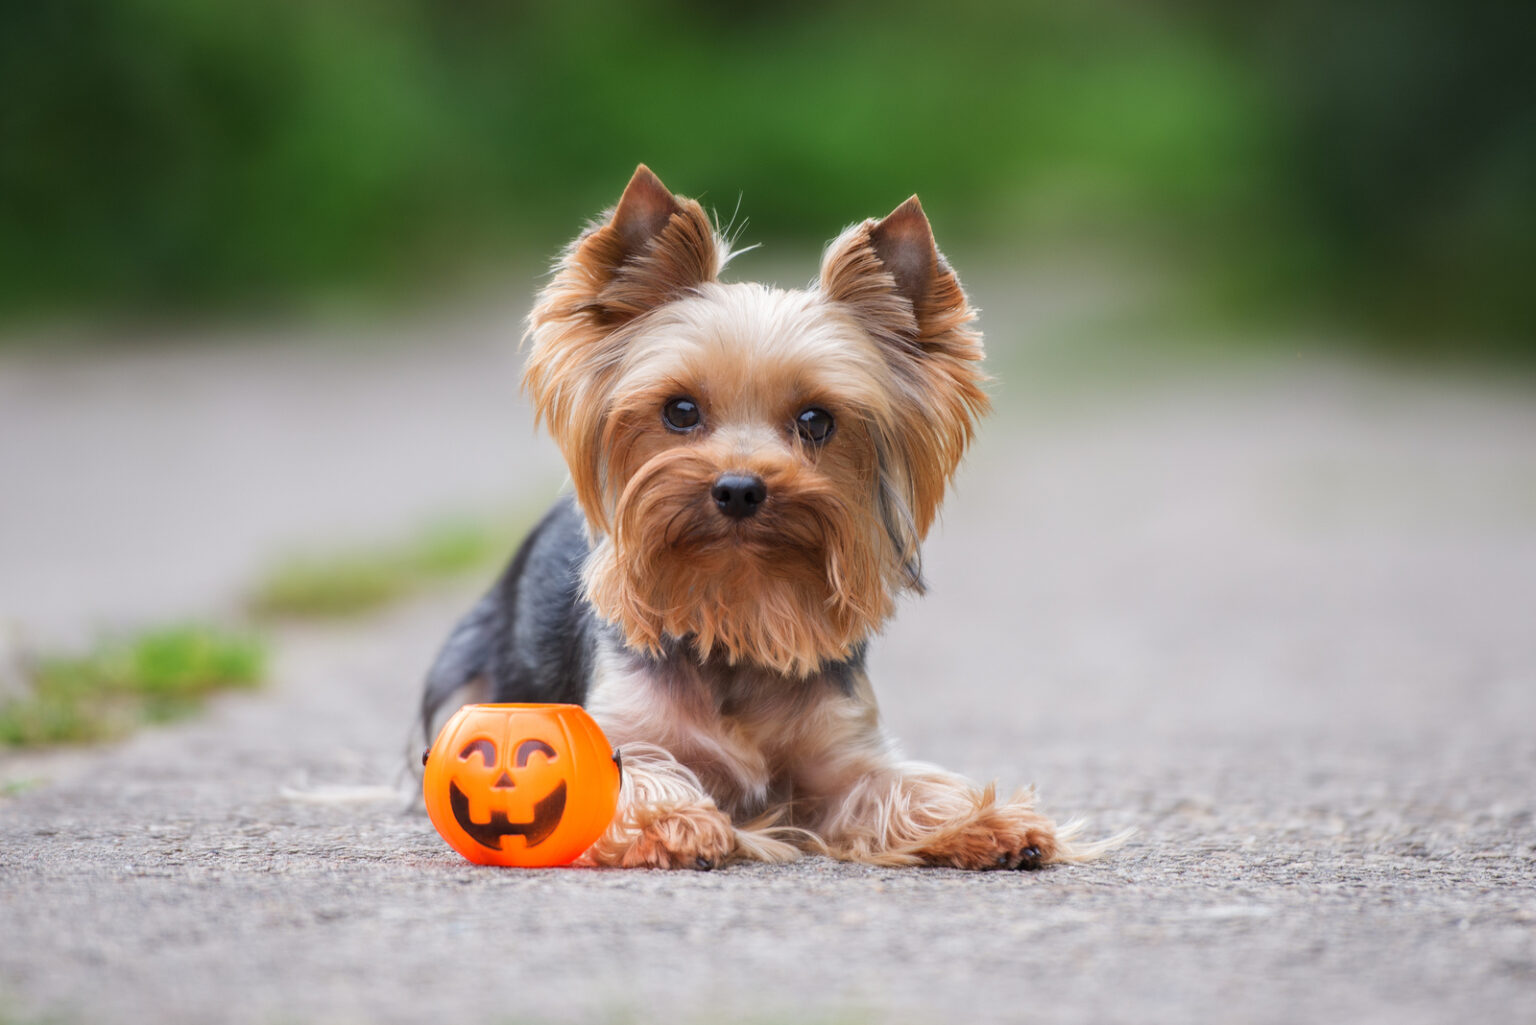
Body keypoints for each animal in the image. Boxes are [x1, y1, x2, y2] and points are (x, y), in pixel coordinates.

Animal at [420, 164, 1105, 872]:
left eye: (816, 420)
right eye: (680, 411)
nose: (739, 489)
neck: (739, 606)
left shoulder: (844, 751)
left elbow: (900, 790)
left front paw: (991, 822)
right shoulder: (616, 729)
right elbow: (629, 777)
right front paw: (675, 822)